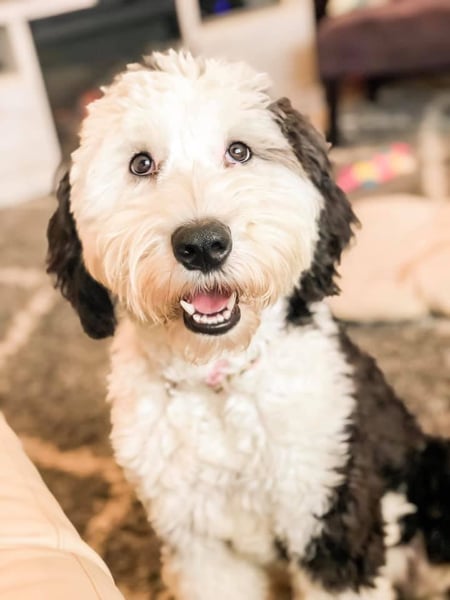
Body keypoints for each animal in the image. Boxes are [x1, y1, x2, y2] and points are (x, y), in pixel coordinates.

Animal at [47, 51, 448, 600]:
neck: (219, 380)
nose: (202, 244)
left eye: (239, 151)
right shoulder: (201, 547)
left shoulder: (331, 519)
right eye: (140, 163)